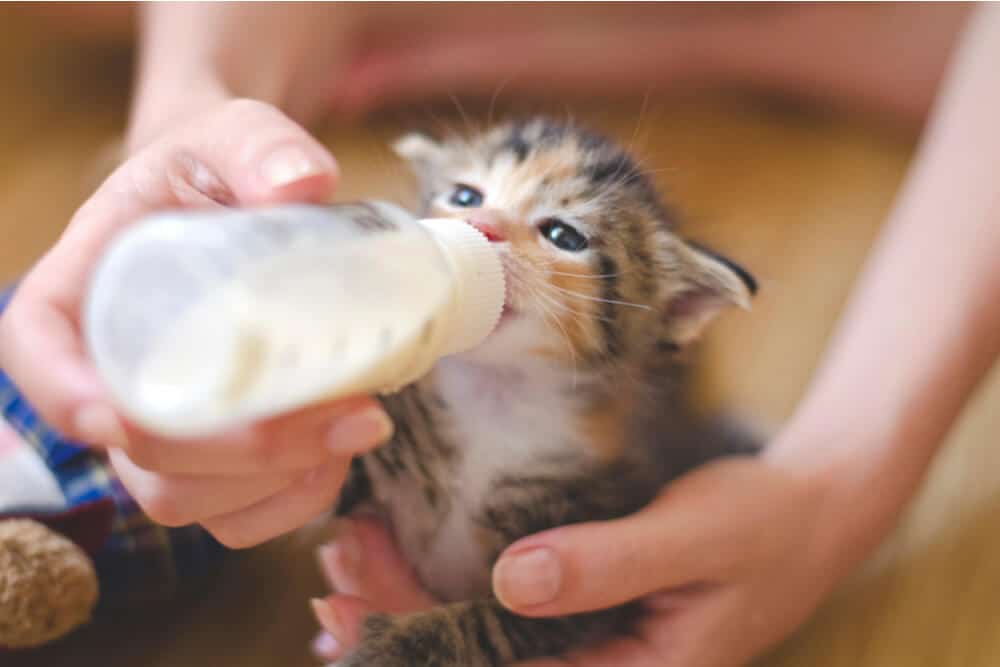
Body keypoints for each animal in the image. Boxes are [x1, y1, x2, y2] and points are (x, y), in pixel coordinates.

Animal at [328, 118, 756, 667]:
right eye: (465, 196)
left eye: (562, 235)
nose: (481, 225)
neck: (494, 393)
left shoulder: (590, 573)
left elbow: (490, 623)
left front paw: (396, 648)